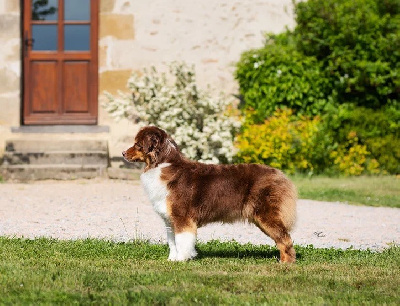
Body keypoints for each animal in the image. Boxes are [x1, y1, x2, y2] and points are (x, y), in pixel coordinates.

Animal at [122, 126, 296, 262]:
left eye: (137, 144)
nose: (123, 153)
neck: (162, 164)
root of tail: (280, 174)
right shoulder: (169, 219)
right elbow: (172, 242)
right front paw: (172, 259)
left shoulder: (182, 216)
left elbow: (182, 240)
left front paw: (182, 259)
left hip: (266, 214)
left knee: (285, 239)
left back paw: (285, 264)